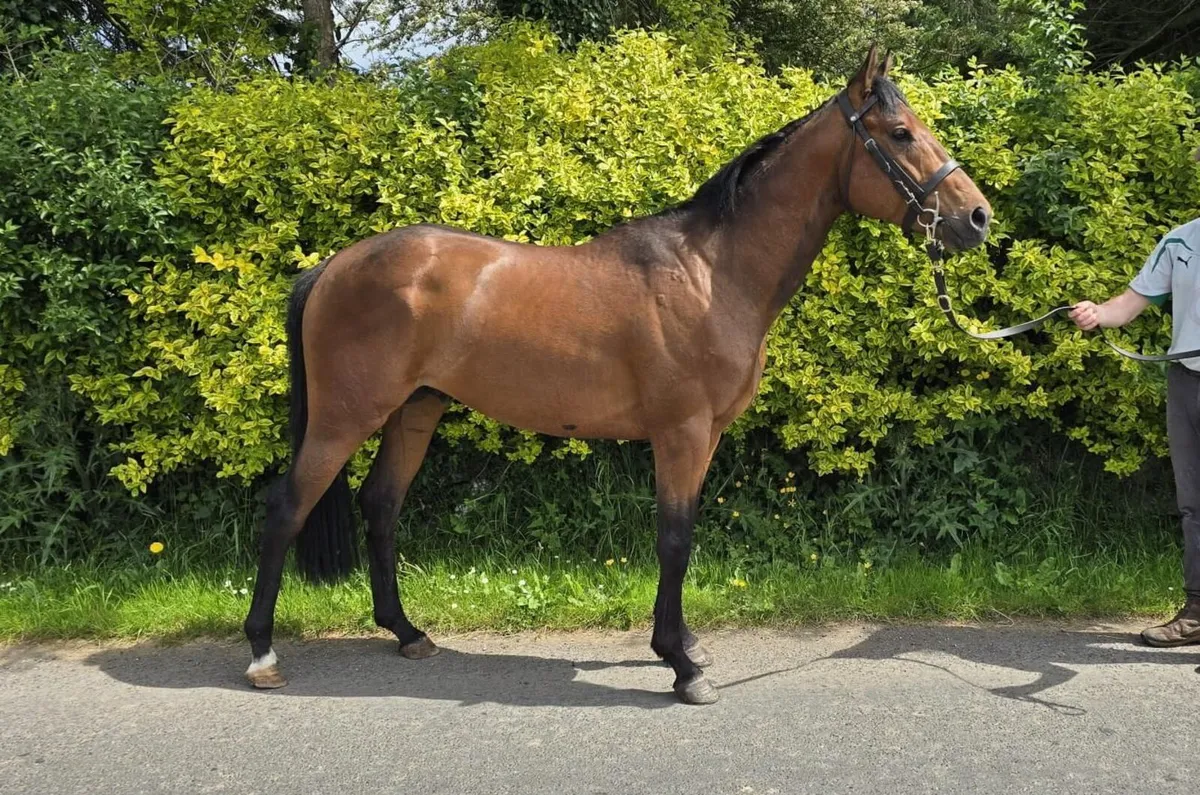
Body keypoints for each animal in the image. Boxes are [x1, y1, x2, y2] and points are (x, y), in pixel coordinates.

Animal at [242, 45, 992, 705]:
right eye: (901, 133)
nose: (977, 217)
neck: (712, 273)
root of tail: (331, 267)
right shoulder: (681, 432)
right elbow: (674, 538)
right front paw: (681, 665)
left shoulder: (705, 436)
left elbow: (683, 536)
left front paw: (686, 643)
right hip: (346, 416)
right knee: (285, 508)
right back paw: (262, 653)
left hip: (415, 410)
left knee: (382, 506)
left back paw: (406, 632)